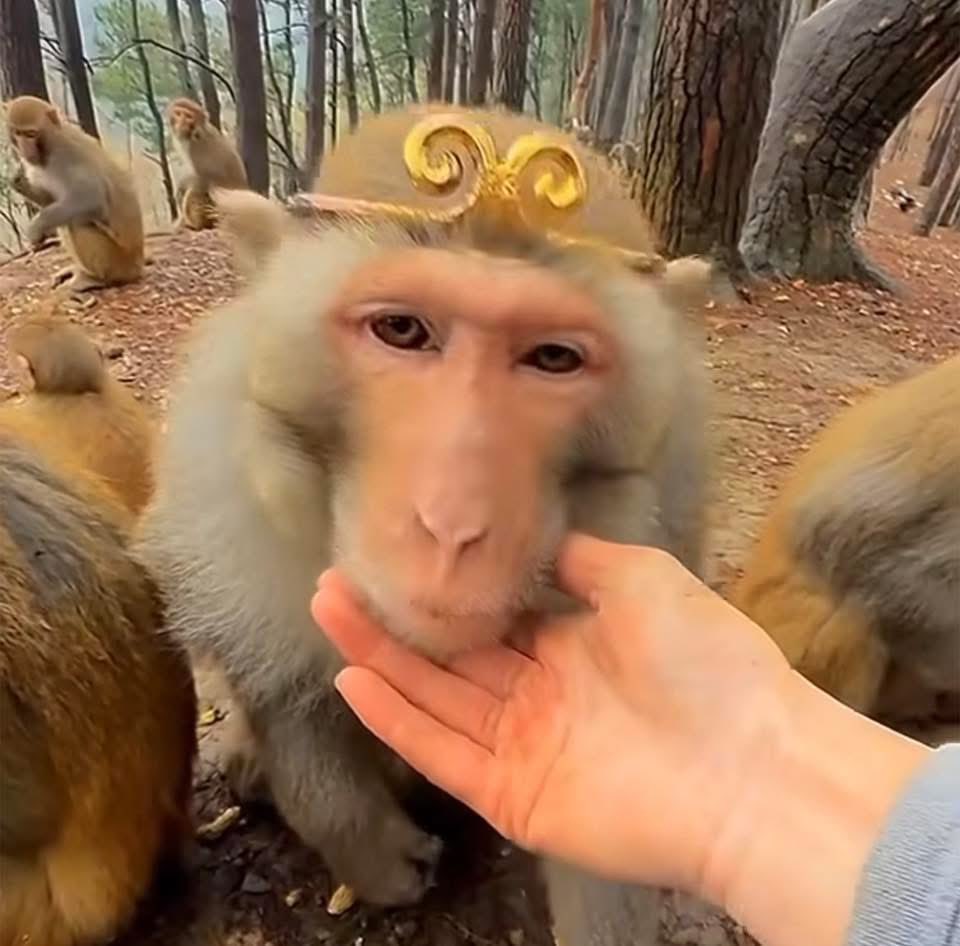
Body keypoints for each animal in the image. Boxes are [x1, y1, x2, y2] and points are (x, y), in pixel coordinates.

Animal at [4, 96, 146, 292]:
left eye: (31, 134)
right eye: (17, 133)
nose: (25, 149)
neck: (50, 146)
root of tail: (137, 266)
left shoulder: (68, 157)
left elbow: (92, 200)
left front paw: (36, 227)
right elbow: (51, 200)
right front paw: (17, 180)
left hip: (118, 262)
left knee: (77, 222)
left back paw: (93, 279)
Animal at [167, 97, 249, 231]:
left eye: (188, 116)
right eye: (178, 114)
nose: (181, 124)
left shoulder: (197, 146)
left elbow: (207, 176)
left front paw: (182, 185)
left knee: (199, 188)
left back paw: (196, 225)